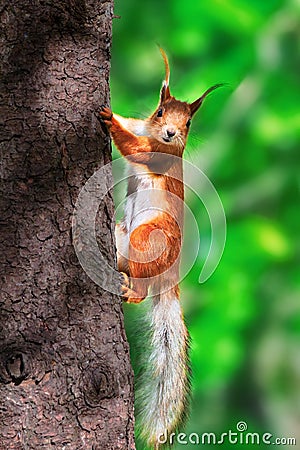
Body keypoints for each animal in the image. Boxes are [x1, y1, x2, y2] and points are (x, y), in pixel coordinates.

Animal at [99, 47, 221, 448]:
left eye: (189, 123)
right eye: (160, 112)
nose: (170, 133)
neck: (161, 142)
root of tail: (170, 279)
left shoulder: (154, 154)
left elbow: (135, 149)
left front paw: (109, 121)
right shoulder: (144, 129)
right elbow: (133, 129)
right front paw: (115, 113)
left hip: (149, 237)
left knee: (140, 287)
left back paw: (129, 289)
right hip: (124, 233)